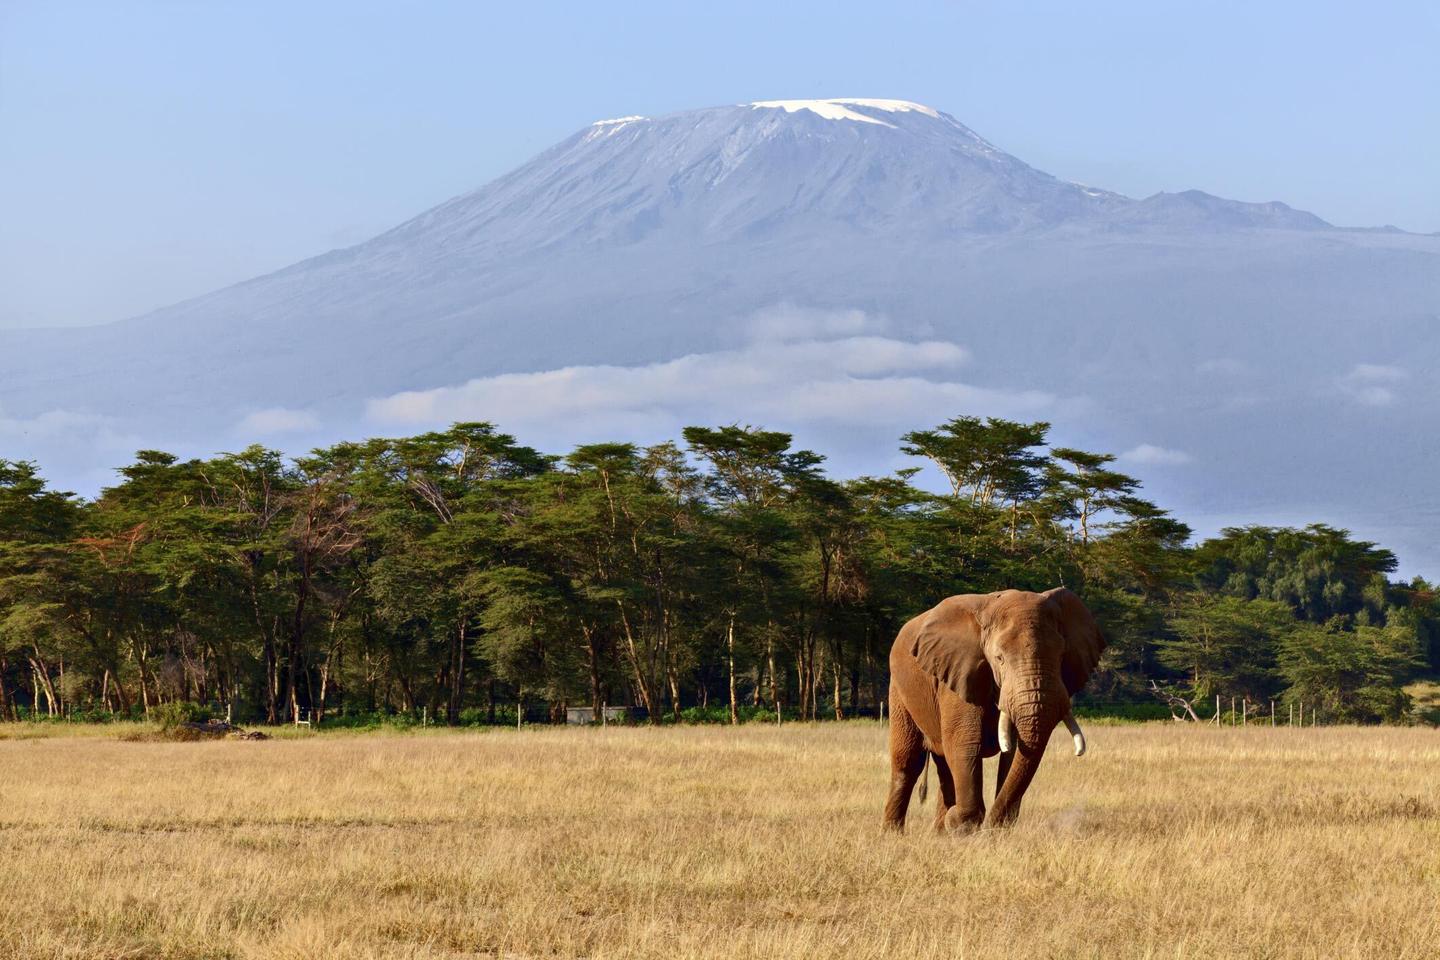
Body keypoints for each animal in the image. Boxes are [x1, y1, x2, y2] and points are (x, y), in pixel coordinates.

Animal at [882, 588, 1105, 832]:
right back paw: (894, 834)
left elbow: (1014, 752)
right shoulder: (959, 672)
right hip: (898, 690)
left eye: (1061, 656)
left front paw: (983, 827)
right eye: (999, 658)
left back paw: (940, 831)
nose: (993, 825)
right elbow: (965, 743)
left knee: (944, 765)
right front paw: (960, 823)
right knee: (908, 762)